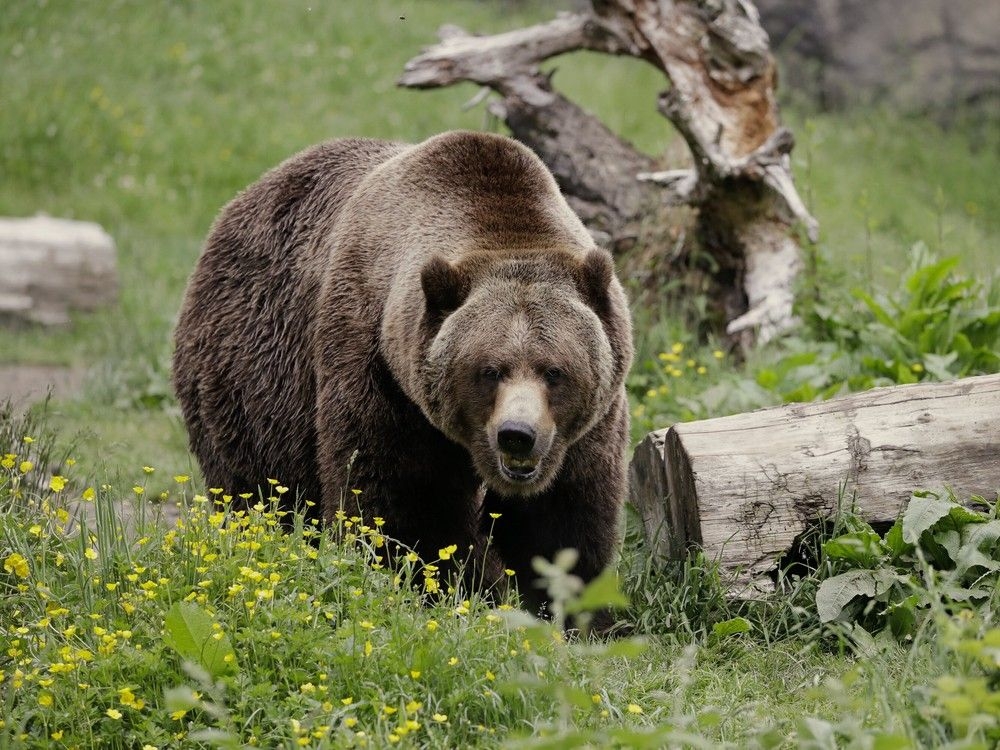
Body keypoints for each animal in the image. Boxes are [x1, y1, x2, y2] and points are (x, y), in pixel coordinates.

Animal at [172, 131, 633, 611]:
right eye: (489, 370)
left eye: (554, 371)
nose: (517, 435)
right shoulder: (380, 371)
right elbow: (402, 503)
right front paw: (447, 586)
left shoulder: (587, 427)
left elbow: (562, 520)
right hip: (253, 379)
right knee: (258, 486)